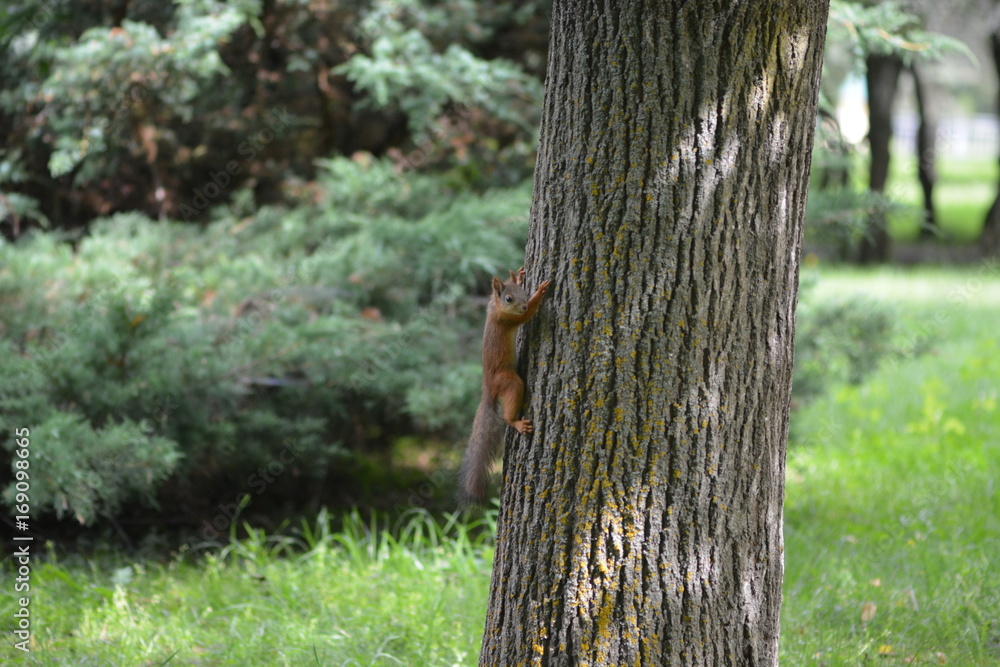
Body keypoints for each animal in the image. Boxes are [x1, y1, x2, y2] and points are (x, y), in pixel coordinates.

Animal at [458, 267, 551, 507]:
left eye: (522, 291)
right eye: (509, 299)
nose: (524, 304)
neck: (496, 307)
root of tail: (489, 389)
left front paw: (518, 275)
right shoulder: (508, 318)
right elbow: (527, 316)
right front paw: (540, 292)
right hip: (509, 381)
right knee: (508, 414)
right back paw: (517, 423)